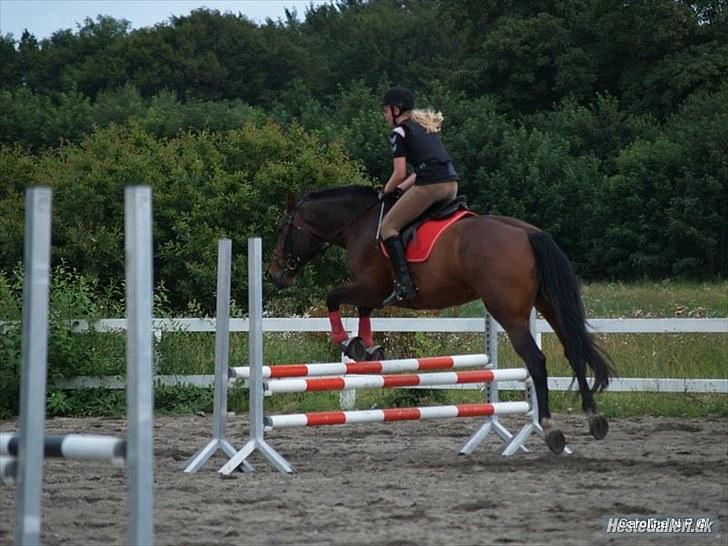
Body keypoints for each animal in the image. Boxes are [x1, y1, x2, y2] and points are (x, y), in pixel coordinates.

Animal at [270, 185, 616, 452]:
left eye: (283, 229)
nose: (276, 274)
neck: (360, 222)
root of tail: (529, 234)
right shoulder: (373, 291)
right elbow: (364, 311)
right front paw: (366, 347)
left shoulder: (369, 285)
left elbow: (333, 298)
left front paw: (346, 341)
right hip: (548, 305)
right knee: (573, 350)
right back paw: (594, 418)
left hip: (509, 313)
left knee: (536, 360)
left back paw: (550, 429)